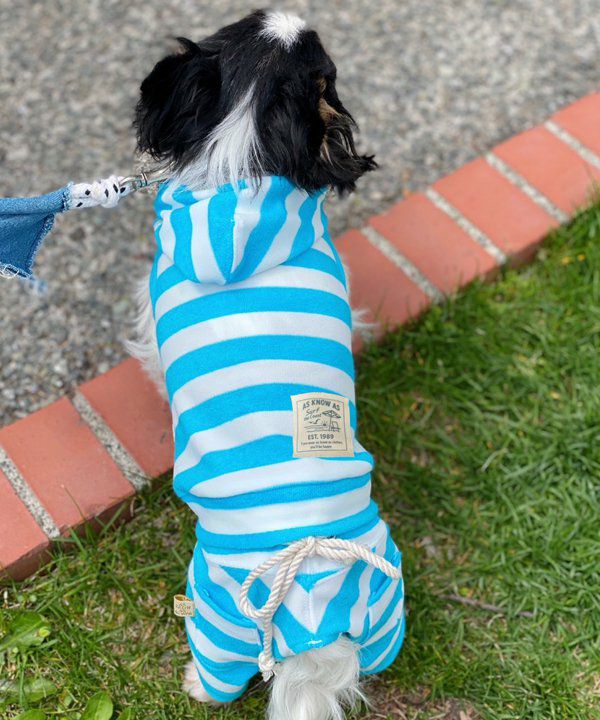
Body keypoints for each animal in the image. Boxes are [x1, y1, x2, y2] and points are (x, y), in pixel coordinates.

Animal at [127, 10, 405, 720]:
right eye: (242, 21)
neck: (242, 173)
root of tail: (309, 609)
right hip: (384, 608)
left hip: (217, 610)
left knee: (218, 675)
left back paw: (194, 684)